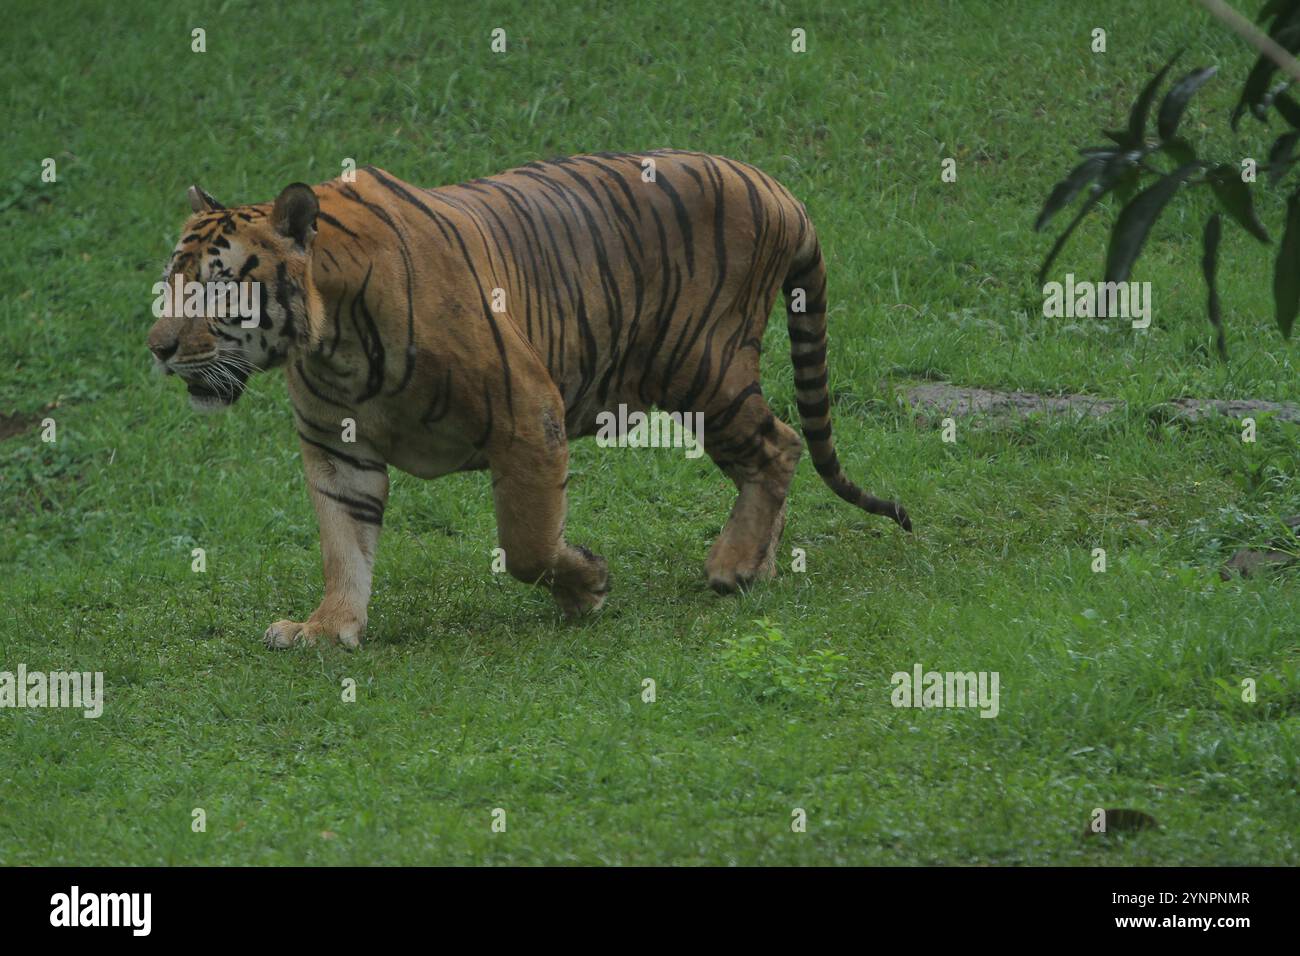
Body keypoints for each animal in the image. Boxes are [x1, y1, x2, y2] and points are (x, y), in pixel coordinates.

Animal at [147, 149, 909, 650]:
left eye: (216, 287)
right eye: (172, 281)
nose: (156, 347)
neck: (332, 339)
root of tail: (777, 188)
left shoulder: (527, 416)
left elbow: (527, 544)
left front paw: (587, 586)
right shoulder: (337, 448)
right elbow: (345, 546)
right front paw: (328, 628)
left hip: (702, 369)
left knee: (779, 445)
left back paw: (732, 568)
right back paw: (758, 567)